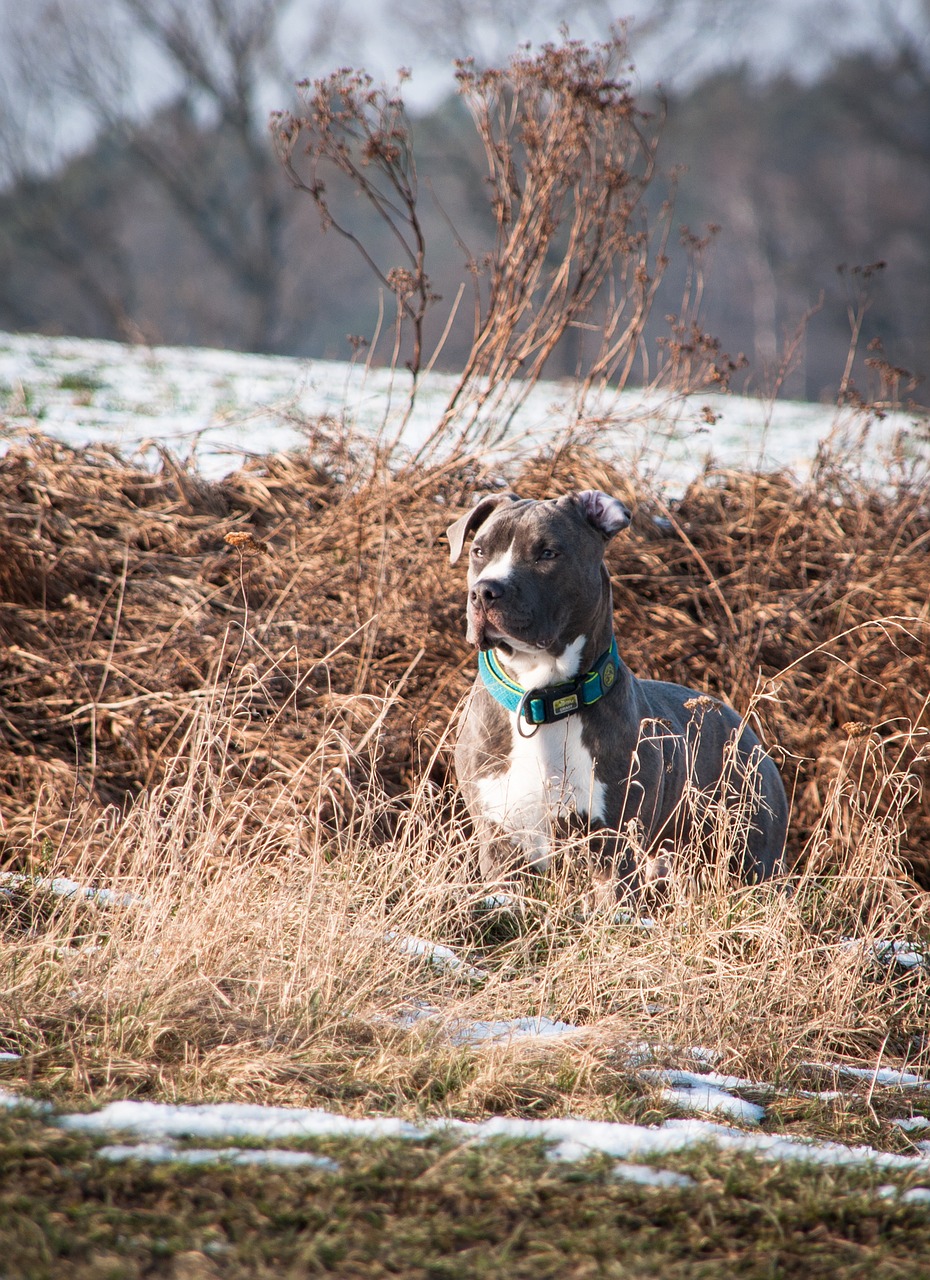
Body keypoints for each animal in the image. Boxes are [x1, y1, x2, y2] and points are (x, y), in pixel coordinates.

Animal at [447, 488, 788, 901]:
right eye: (479, 550)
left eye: (548, 553)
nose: (484, 590)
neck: (543, 697)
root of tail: (743, 728)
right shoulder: (500, 841)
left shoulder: (614, 847)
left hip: (752, 853)